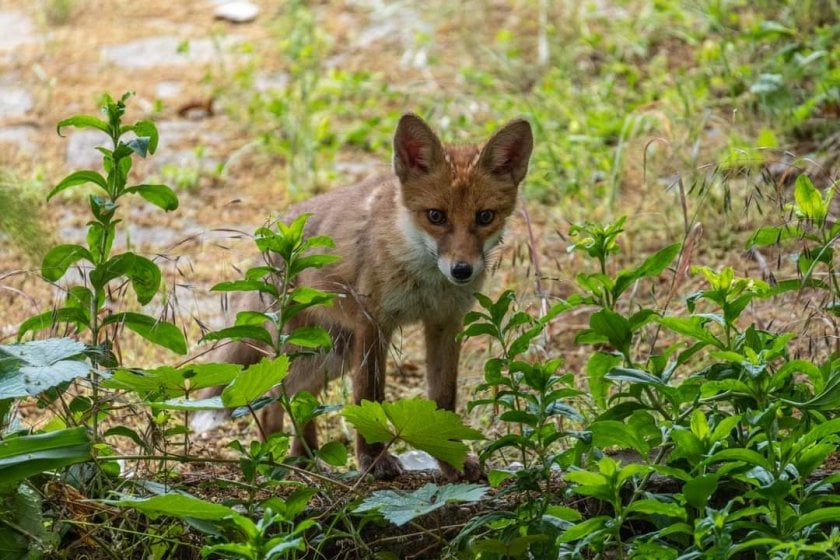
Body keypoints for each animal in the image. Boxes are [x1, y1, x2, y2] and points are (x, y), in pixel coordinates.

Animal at [194, 115, 536, 482]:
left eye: (485, 217)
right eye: (436, 216)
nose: (461, 270)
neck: (424, 278)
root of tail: (276, 231)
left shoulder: (445, 322)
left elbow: (444, 397)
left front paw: (451, 458)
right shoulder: (374, 323)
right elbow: (368, 396)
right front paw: (373, 460)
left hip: (332, 353)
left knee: (300, 397)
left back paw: (305, 456)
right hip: (304, 348)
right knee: (273, 397)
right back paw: (275, 460)